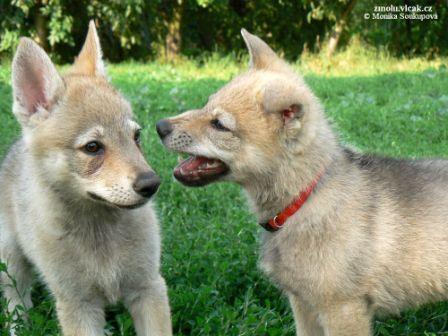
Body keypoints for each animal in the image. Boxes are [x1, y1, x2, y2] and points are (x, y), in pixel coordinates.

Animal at [0, 22, 172, 334]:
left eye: (136, 137)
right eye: (92, 147)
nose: (151, 184)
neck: (99, 230)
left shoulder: (149, 287)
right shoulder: (77, 305)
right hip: (12, 264)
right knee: (16, 304)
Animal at [156, 29, 448, 336]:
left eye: (219, 125)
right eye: (207, 104)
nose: (159, 127)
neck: (305, 198)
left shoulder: (343, 310)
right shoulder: (303, 305)